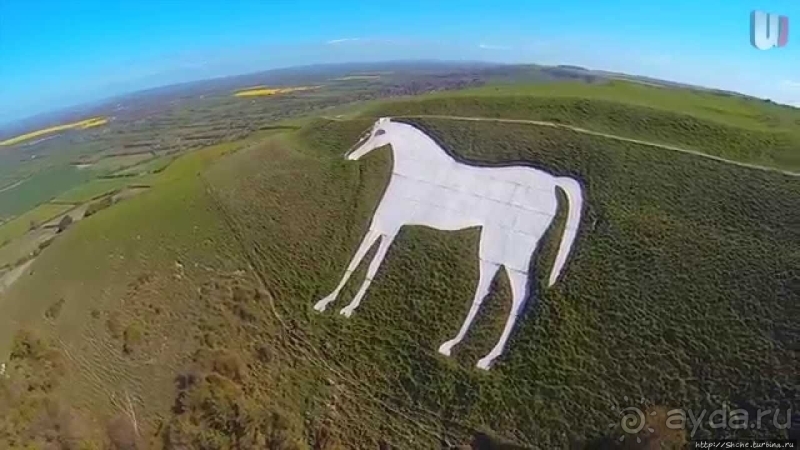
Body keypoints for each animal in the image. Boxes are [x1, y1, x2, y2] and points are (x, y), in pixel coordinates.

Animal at [314, 117, 584, 370]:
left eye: (377, 133)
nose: (350, 155)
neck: (418, 170)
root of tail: (553, 182)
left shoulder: (391, 227)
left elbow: (371, 266)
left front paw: (348, 308)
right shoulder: (383, 226)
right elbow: (356, 260)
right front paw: (326, 302)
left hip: (508, 251)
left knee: (518, 294)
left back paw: (482, 358)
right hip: (496, 250)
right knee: (488, 290)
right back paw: (458, 347)